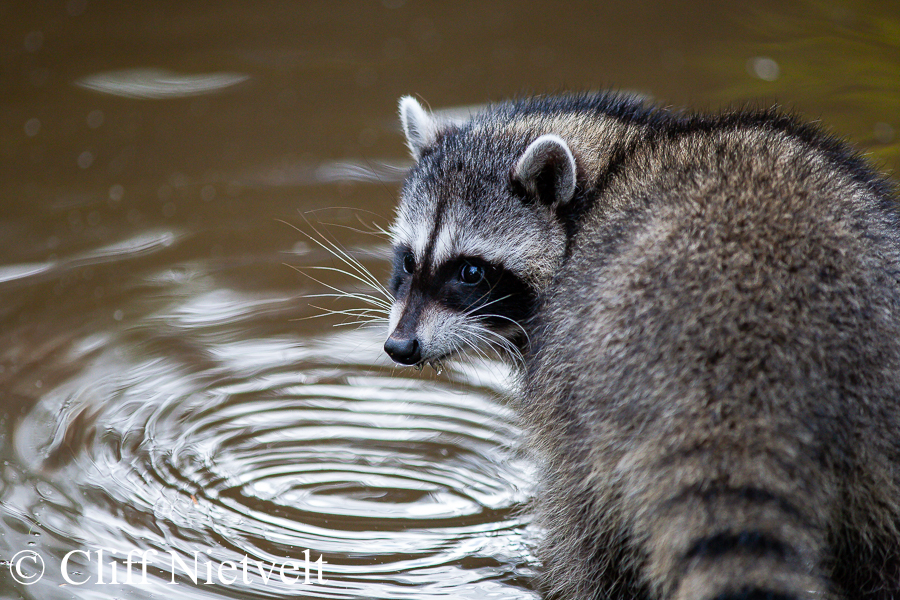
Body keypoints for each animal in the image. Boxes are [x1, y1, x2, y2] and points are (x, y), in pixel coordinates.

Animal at [384, 94, 900, 600]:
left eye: (470, 272)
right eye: (409, 262)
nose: (400, 346)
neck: (616, 150)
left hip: (590, 405)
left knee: (584, 532)